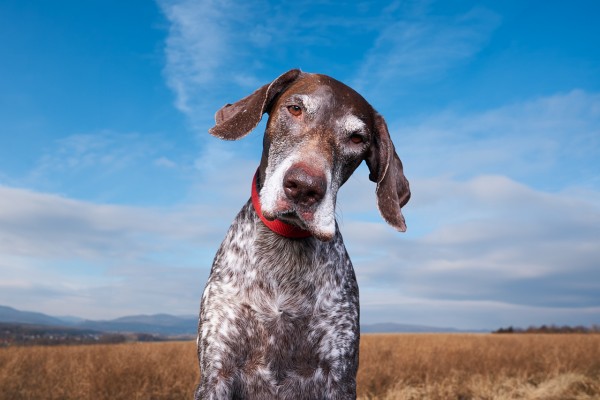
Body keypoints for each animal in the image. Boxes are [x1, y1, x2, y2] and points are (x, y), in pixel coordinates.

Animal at [195, 69, 410, 400]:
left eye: (357, 138)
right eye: (295, 109)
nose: (304, 187)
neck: (285, 244)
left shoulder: (338, 375)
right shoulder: (217, 370)